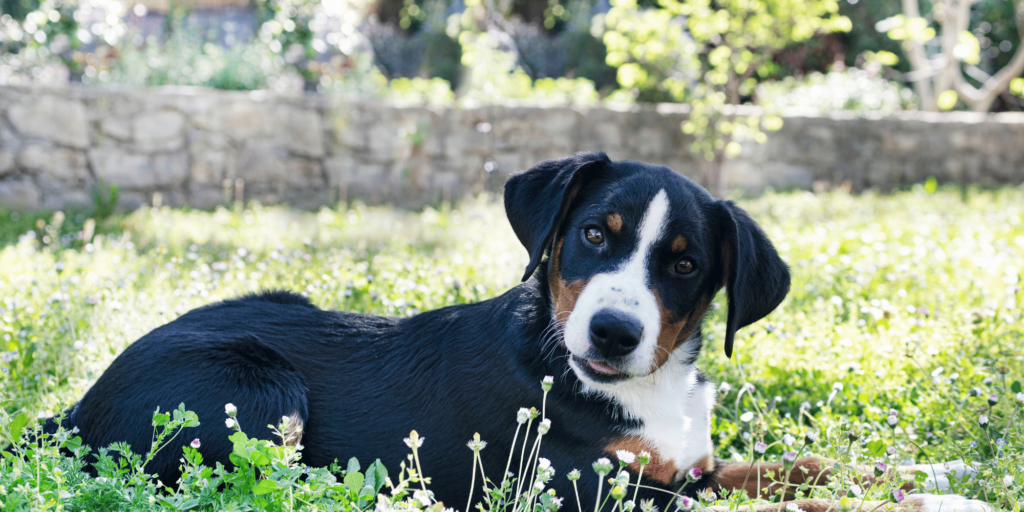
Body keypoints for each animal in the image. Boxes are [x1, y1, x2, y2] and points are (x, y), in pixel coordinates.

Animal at [46, 152, 991, 512]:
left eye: (685, 264)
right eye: (594, 234)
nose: (612, 332)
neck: (640, 386)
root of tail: (76, 407)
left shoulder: (685, 463)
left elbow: (802, 466)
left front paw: (939, 476)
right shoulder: (584, 488)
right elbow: (787, 500)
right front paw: (938, 498)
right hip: (259, 388)